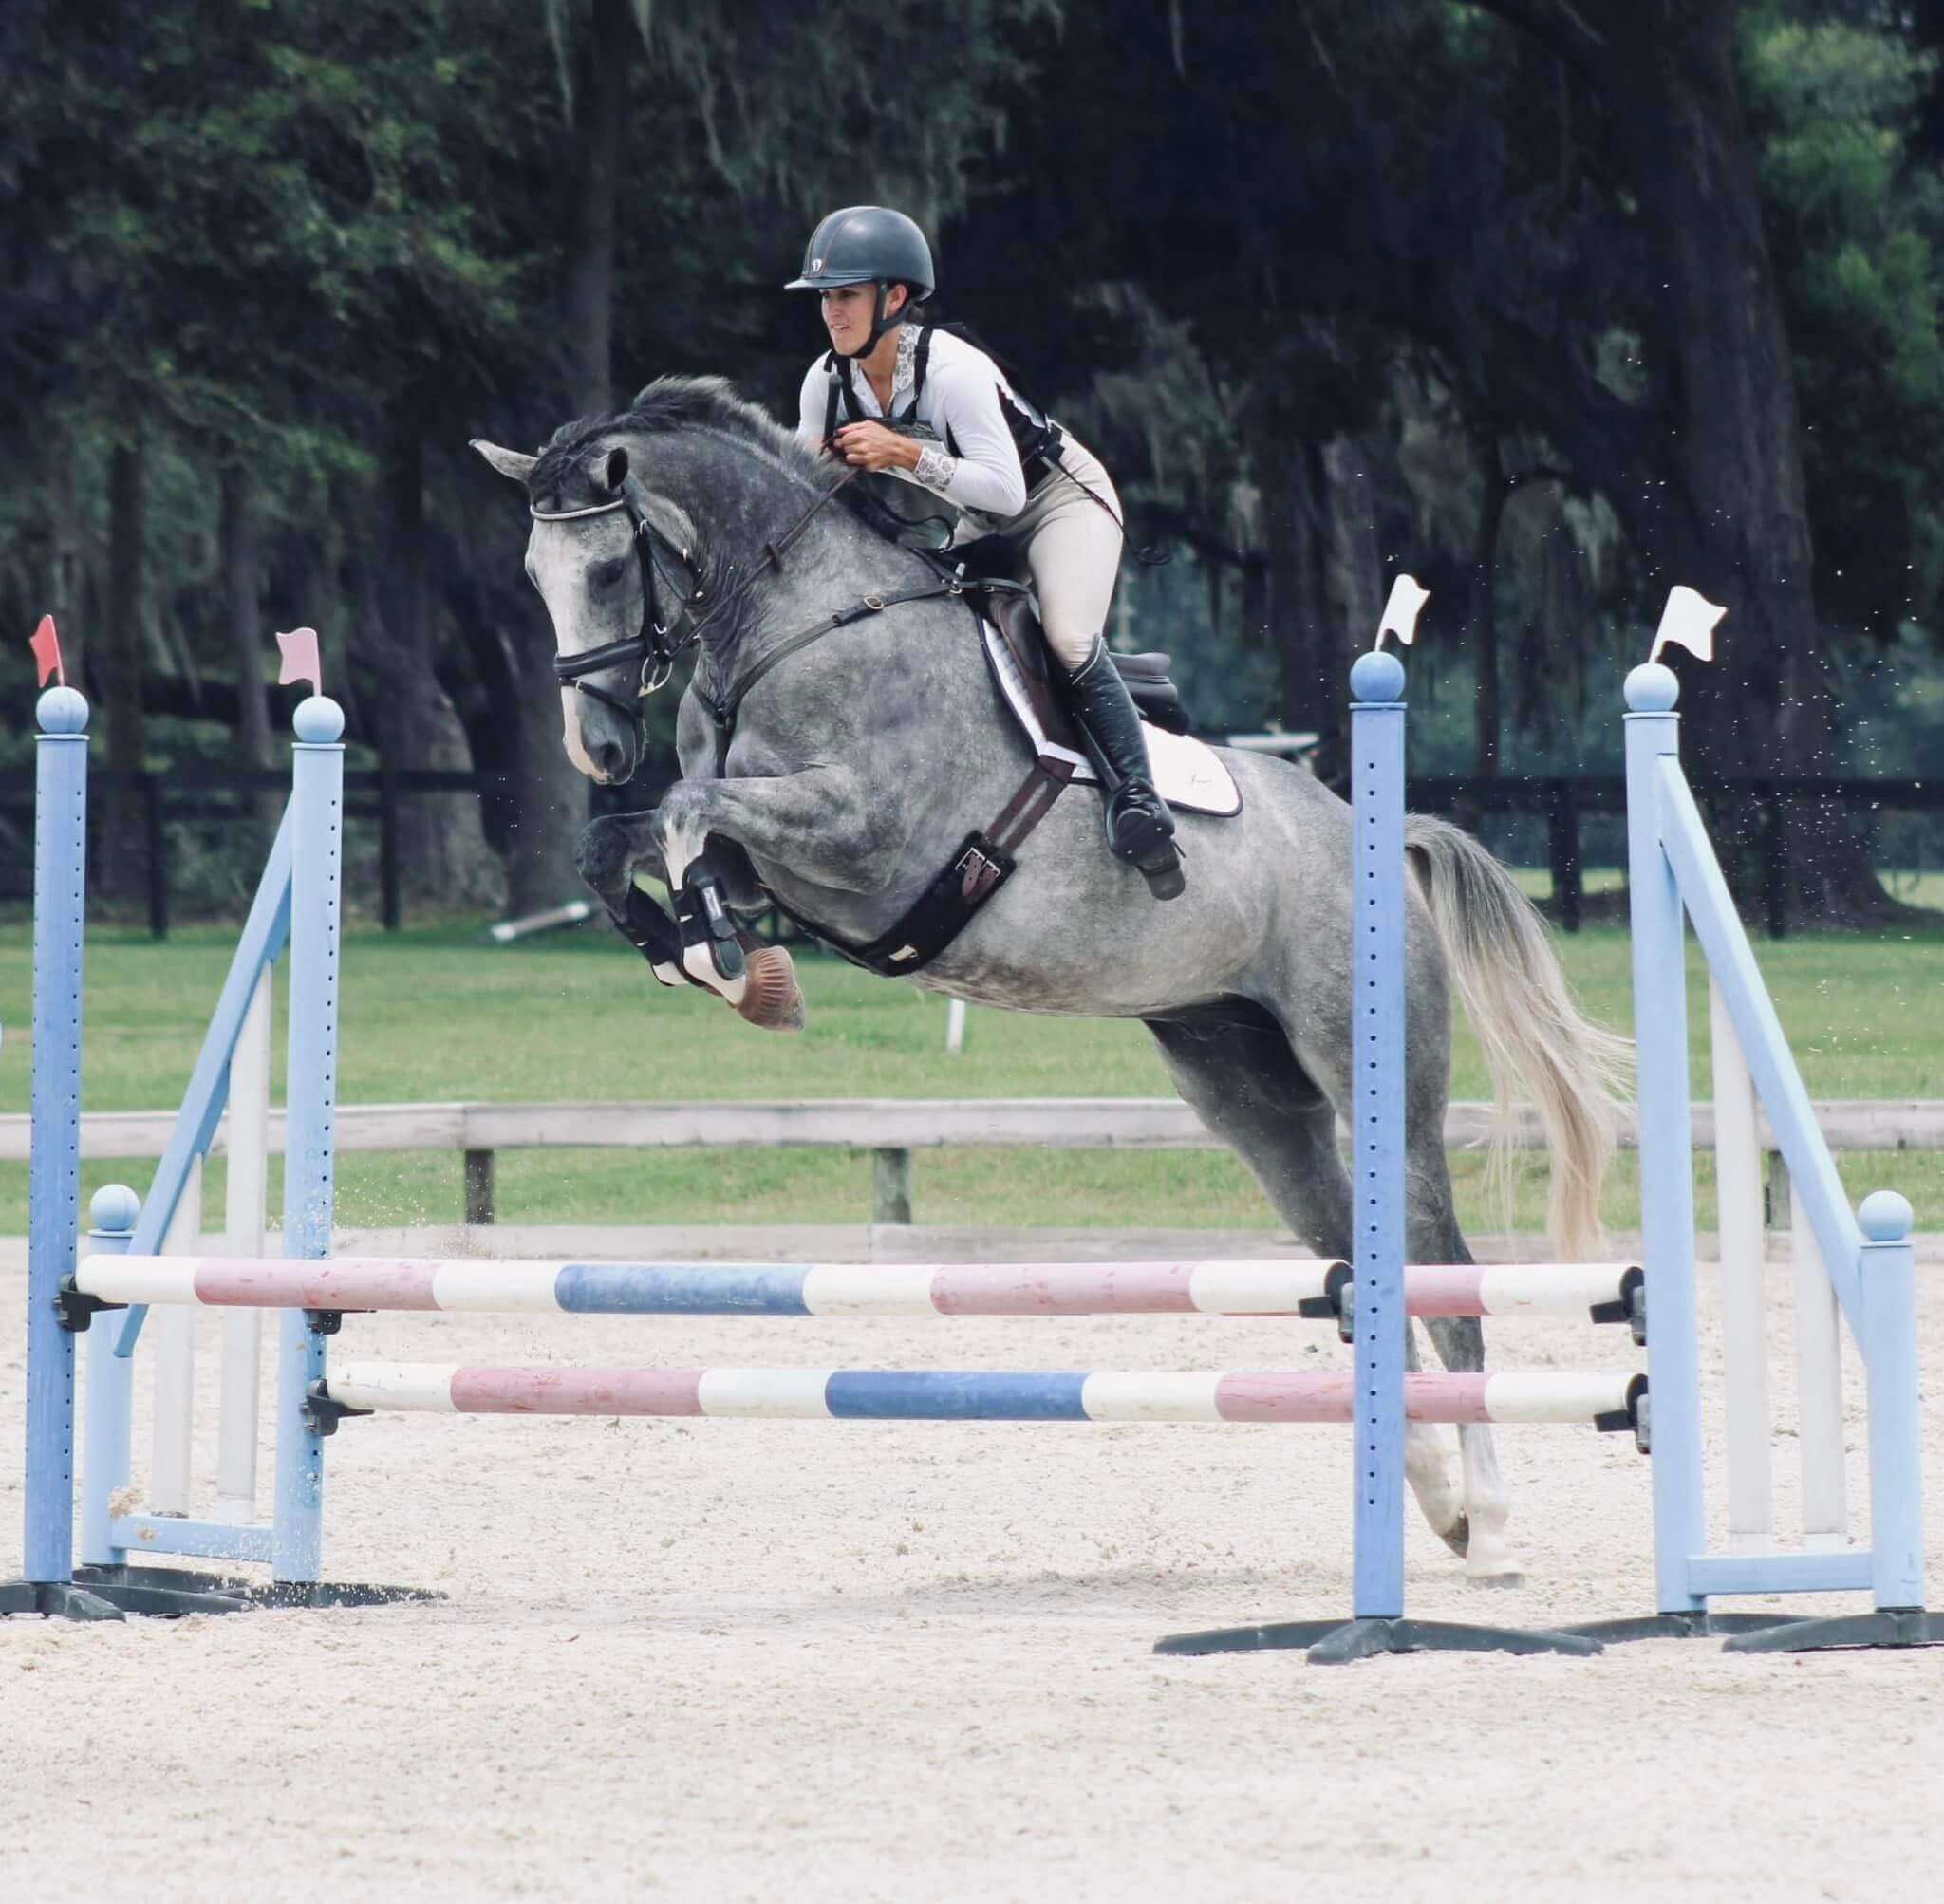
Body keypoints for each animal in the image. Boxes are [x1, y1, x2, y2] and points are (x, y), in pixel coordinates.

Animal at [472, 375, 1628, 1585]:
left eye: (608, 571)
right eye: (533, 577)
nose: (598, 747)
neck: (799, 624)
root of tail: (1383, 840)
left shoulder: (859, 834)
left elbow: (689, 812)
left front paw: (728, 962)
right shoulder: (781, 854)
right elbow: (625, 839)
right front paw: (694, 949)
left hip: (1376, 1081)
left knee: (1443, 1275)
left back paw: (1487, 1523)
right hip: (1246, 1093)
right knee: (1361, 1278)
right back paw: (1436, 1500)